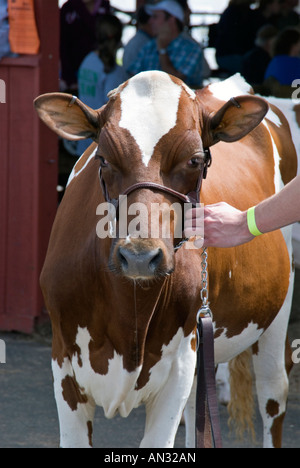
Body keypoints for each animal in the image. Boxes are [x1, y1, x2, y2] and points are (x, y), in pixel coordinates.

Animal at [34, 71, 296, 448]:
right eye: (103, 158)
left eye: (196, 160)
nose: (139, 257)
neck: (129, 315)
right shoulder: (63, 361)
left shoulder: (179, 365)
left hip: (278, 308)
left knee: (274, 392)